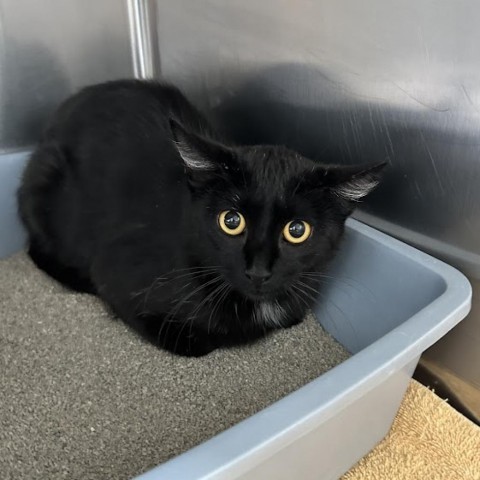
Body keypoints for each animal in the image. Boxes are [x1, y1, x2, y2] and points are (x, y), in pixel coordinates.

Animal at [17, 79, 386, 356]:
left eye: (297, 230)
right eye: (231, 221)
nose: (258, 271)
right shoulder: (116, 274)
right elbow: (195, 340)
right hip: (45, 185)